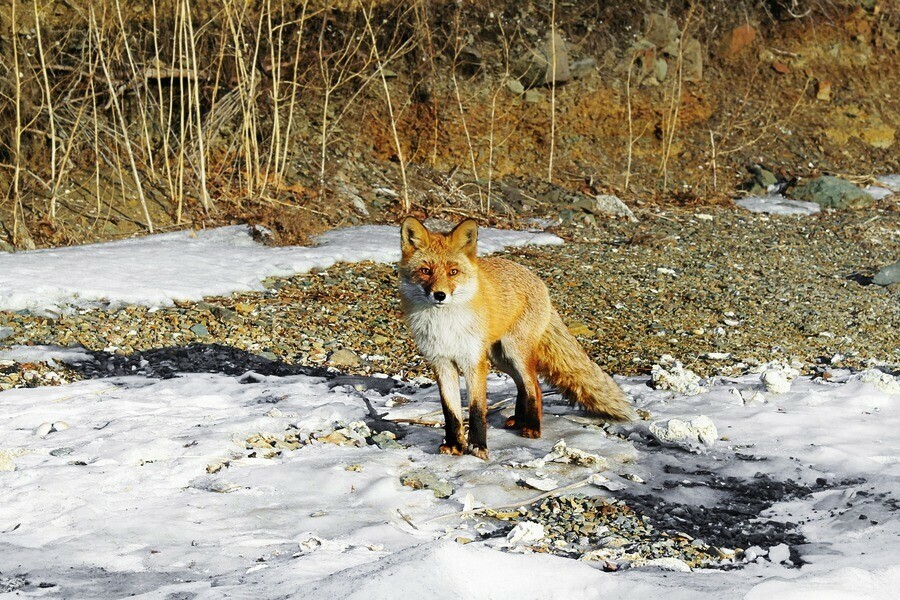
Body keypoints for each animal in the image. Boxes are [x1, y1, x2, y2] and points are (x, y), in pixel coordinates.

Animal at [400, 217, 632, 460]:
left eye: (453, 272)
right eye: (425, 271)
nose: (440, 295)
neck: (445, 325)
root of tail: (537, 279)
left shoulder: (474, 363)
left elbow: (476, 410)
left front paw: (478, 447)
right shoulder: (442, 363)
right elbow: (450, 411)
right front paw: (455, 444)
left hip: (515, 353)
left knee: (534, 385)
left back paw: (532, 427)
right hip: (501, 358)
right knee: (523, 386)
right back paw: (520, 421)